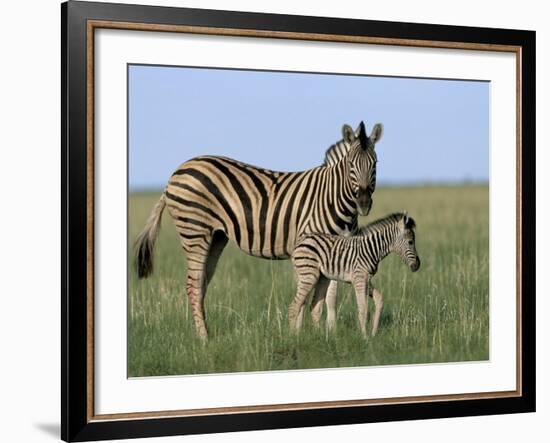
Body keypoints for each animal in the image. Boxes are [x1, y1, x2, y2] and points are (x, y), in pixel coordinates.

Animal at [136, 121, 384, 340]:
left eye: (375, 164)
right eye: (351, 164)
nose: (364, 203)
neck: (332, 197)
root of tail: (177, 171)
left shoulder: (338, 249)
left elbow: (331, 295)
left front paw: (330, 334)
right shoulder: (310, 245)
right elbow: (307, 295)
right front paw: (299, 334)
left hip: (215, 237)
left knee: (202, 283)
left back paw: (205, 333)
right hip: (195, 229)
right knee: (193, 285)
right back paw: (204, 340)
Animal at [292, 212, 420, 336]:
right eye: (410, 242)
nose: (417, 265)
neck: (371, 250)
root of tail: (302, 241)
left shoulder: (367, 280)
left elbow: (379, 300)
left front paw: (373, 333)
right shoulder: (359, 278)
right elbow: (363, 309)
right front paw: (364, 337)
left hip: (319, 277)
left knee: (311, 306)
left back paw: (319, 335)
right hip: (309, 274)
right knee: (295, 305)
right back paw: (293, 335)